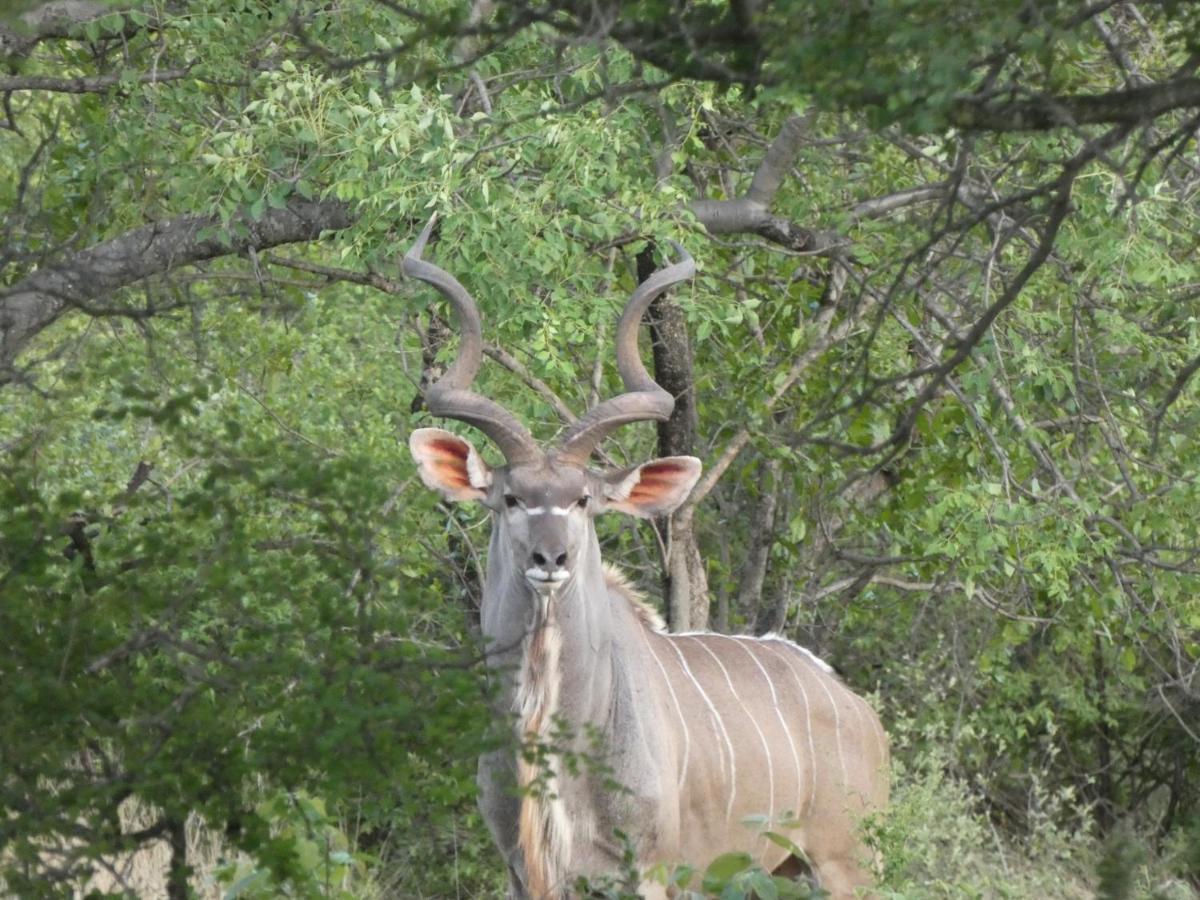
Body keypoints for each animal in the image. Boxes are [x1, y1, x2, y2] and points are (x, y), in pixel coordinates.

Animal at [408, 220, 888, 900]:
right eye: (511, 498)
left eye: (584, 499)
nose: (550, 556)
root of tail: (858, 709)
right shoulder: (523, 872)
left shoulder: (649, 872)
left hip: (848, 864)